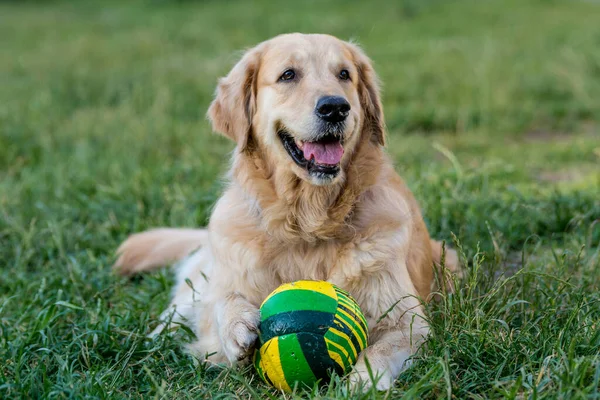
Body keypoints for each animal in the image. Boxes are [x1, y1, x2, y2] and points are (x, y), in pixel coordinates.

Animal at [113, 34, 460, 390]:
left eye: (345, 74)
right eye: (288, 75)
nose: (335, 107)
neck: (307, 225)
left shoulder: (407, 320)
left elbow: (378, 353)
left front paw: (360, 384)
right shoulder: (227, 282)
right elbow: (222, 303)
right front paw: (236, 326)